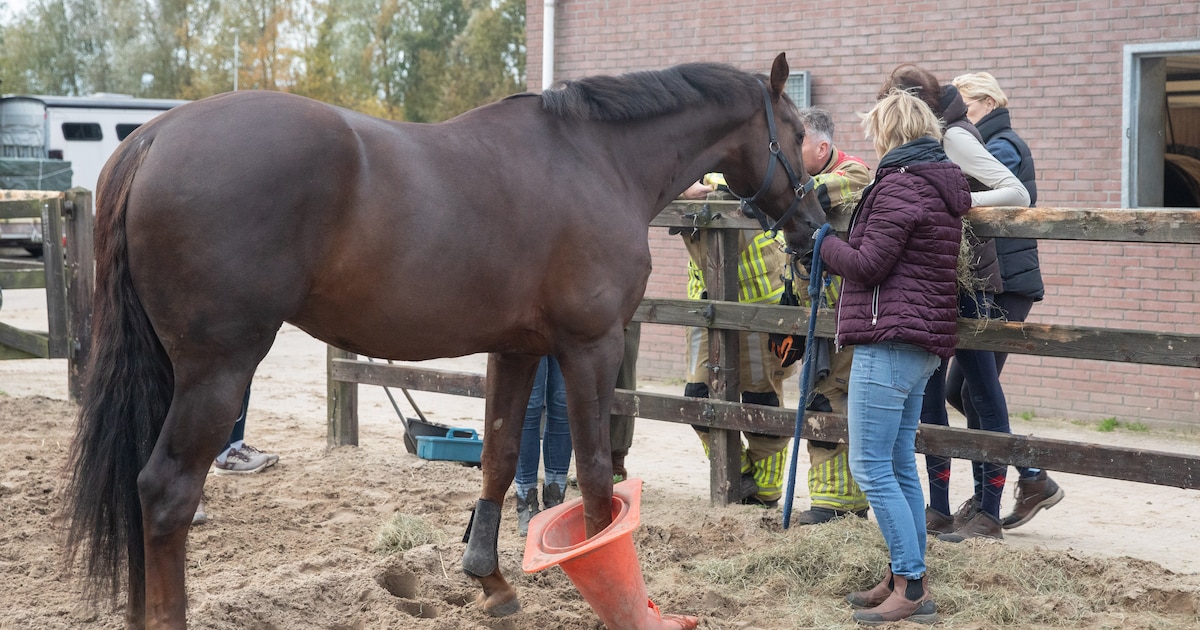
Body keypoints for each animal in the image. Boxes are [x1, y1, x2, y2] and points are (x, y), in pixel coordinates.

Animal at [63, 52, 825, 629]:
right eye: (796, 132)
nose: (812, 223)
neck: (596, 160)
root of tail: (154, 138)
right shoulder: (590, 348)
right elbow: (597, 483)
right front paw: (622, 603)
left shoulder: (517, 349)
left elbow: (498, 458)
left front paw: (493, 585)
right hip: (219, 369)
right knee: (166, 492)